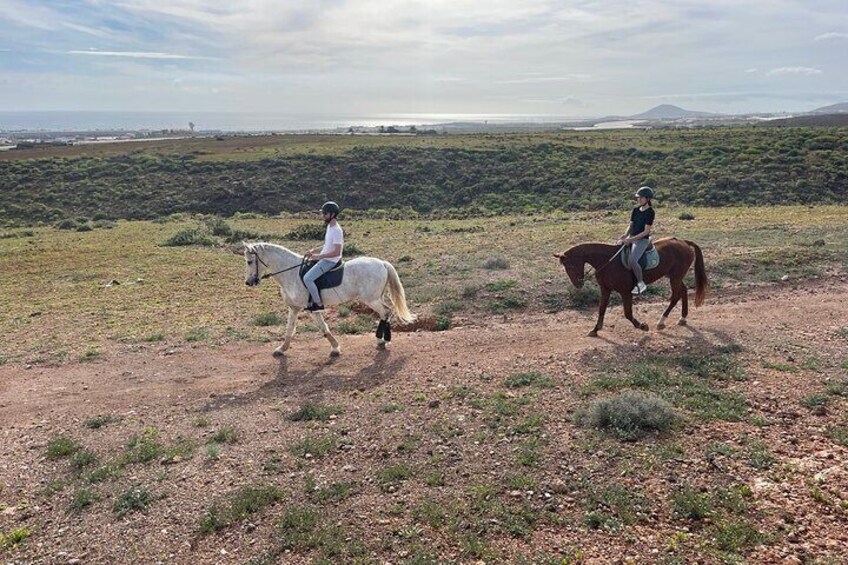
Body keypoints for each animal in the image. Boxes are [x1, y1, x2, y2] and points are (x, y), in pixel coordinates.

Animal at [240, 242, 416, 356]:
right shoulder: (295, 308)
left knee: (385, 312)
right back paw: (382, 339)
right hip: (376, 297)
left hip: (371, 300)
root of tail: (382, 263)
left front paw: (335, 348)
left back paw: (381, 340)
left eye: (249, 261)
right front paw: (282, 349)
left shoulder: (310, 308)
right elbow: (290, 329)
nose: (248, 282)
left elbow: (322, 327)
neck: (291, 273)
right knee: (386, 312)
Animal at [556, 237, 708, 334]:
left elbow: (627, 313)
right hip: (674, 276)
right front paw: (595, 330)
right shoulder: (605, 289)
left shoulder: (625, 292)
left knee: (676, 295)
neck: (608, 261)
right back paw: (682, 318)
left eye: (570, 265)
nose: (578, 284)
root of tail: (684, 242)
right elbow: (601, 309)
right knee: (683, 290)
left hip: (675, 277)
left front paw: (642, 326)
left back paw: (661, 322)